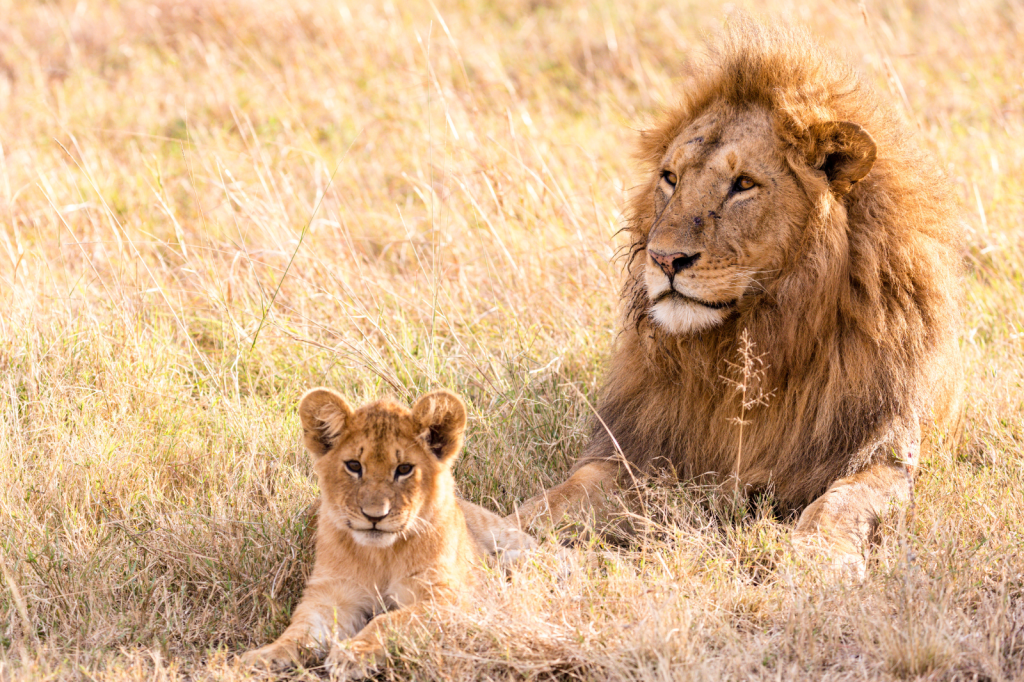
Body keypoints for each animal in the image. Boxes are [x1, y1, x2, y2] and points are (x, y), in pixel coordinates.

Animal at [245, 387, 536, 675]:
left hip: (501, 533)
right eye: (354, 466)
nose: (375, 516)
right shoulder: (331, 595)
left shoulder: (450, 598)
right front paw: (264, 657)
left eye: (404, 469)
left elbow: (390, 620)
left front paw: (352, 654)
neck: (381, 555)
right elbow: (300, 630)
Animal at [516, 23, 962, 569]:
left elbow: (840, 504)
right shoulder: (637, 449)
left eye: (743, 184)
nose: (664, 259)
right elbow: (564, 493)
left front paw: (816, 560)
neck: (746, 347)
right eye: (670, 178)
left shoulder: (883, 452)